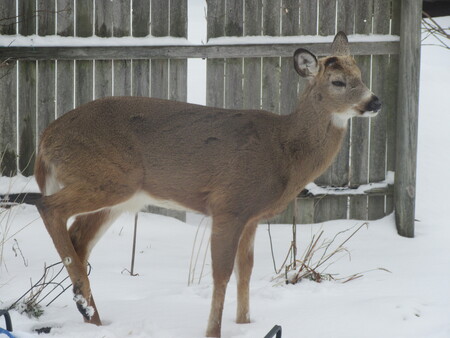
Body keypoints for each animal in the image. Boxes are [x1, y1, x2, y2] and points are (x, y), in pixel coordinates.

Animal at [34, 32, 380, 338]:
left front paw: (245, 324)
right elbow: (222, 272)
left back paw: (93, 318)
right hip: (109, 178)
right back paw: (82, 300)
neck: (284, 150)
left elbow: (245, 269)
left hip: (117, 194)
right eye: (338, 82)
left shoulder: (251, 217)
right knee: (47, 207)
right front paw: (214, 331)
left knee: (79, 237)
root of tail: (46, 139)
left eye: (361, 75)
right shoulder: (228, 204)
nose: (375, 101)